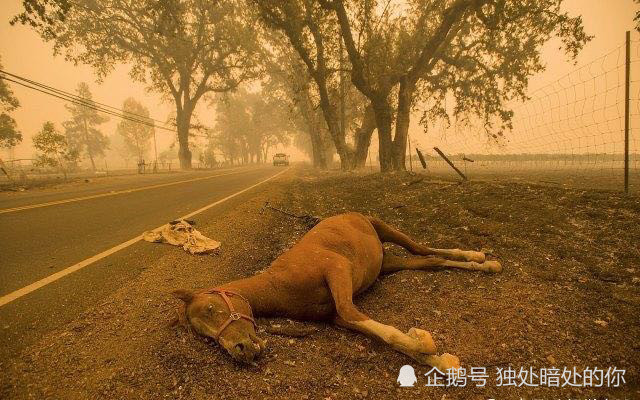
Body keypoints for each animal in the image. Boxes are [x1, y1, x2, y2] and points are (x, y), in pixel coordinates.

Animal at [172, 211, 502, 370]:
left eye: (212, 309)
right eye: (204, 337)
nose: (240, 351)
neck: (280, 284)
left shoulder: (337, 270)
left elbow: (364, 318)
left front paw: (425, 342)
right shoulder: (336, 318)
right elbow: (379, 334)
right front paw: (440, 360)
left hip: (385, 228)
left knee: (423, 249)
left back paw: (479, 257)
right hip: (388, 264)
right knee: (430, 260)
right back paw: (483, 263)